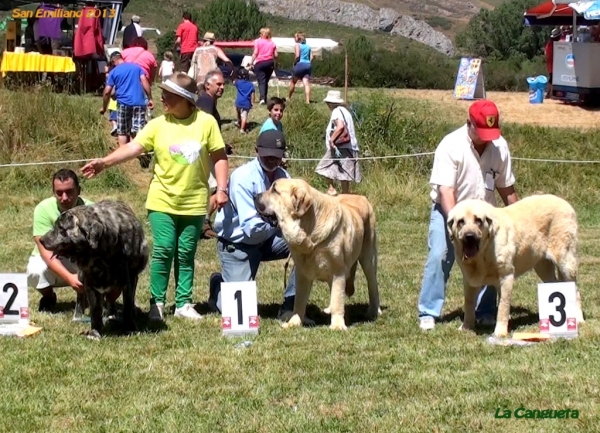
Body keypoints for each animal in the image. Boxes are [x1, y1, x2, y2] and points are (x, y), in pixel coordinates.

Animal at [253, 177, 380, 330]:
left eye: (274, 190)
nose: (255, 196)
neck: (309, 232)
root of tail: (360, 196)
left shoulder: (338, 271)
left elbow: (338, 299)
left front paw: (337, 326)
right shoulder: (302, 272)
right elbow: (299, 301)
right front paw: (294, 322)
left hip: (368, 259)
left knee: (372, 285)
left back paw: (374, 311)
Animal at [450, 193, 580, 338]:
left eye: (478, 220)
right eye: (461, 222)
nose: (469, 236)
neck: (483, 251)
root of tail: (565, 203)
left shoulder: (506, 277)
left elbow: (503, 305)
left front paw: (499, 332)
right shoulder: (469, 281)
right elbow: (469, 303)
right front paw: (466, 328)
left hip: (566, 262)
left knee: (576, 291)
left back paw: (579, 319)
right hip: (542, 267)